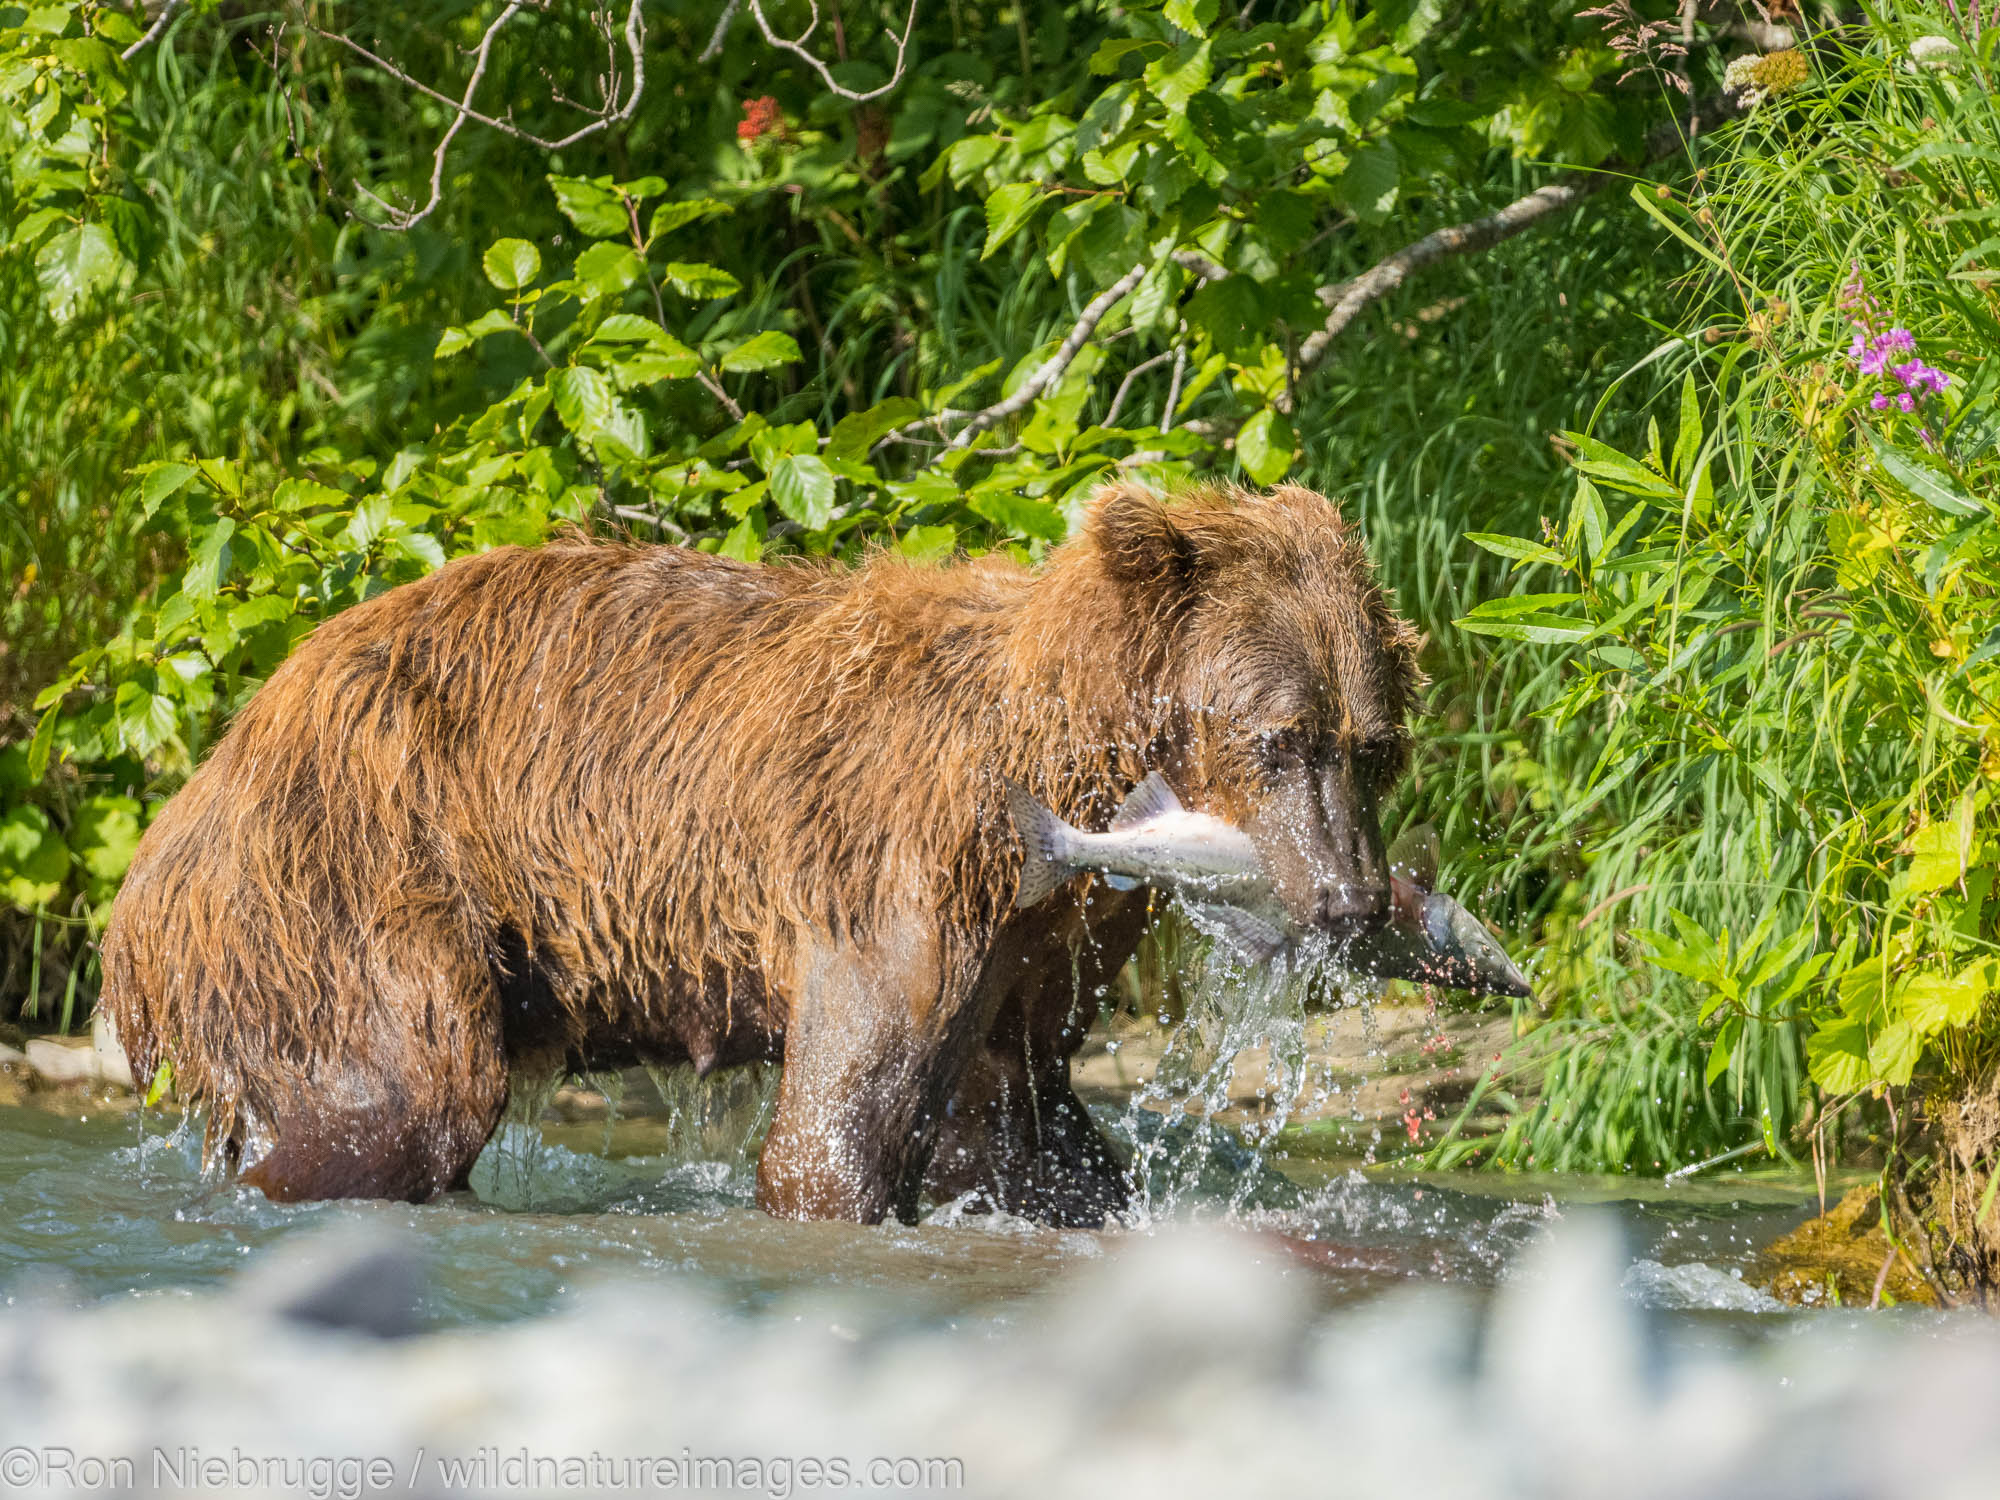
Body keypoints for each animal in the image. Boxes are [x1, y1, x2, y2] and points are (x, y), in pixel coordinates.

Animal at [101, 488, 1424, 1224]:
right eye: (1276, 738)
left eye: (1375, 745)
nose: (1352, 903)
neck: (1060, 771)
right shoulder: (899, 865)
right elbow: (841, 1125)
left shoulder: (1048, 938)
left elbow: (1021, 1124)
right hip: (348, 874)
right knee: (399, 1096)